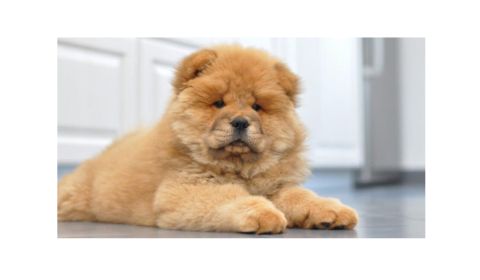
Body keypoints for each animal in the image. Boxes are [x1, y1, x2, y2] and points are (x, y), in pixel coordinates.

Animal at [57, 44, 356, 234]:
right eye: (218, 103)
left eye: (257, 107)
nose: (240, 121)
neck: (240, 169)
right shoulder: (183, 190)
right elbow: (227, 197)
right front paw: (264, 213)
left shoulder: (278, 186)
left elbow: (303, 196)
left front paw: (332, 212)